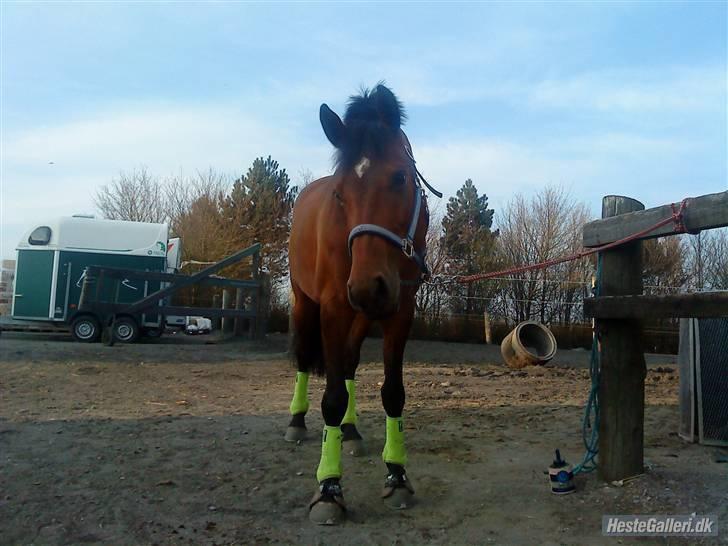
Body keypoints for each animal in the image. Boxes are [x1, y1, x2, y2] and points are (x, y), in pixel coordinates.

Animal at [288, 84, 440, 524]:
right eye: (340, 194)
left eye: (400, 178)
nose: (369, 286)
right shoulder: (333, 308)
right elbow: (332, 398)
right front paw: (328, 488)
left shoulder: (400, 311)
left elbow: (392, 393)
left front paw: (397, 476)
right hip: (305, 302)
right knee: (305, 359)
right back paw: (296, 422)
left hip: (362, 313)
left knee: (350, 363)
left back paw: (351, 431)